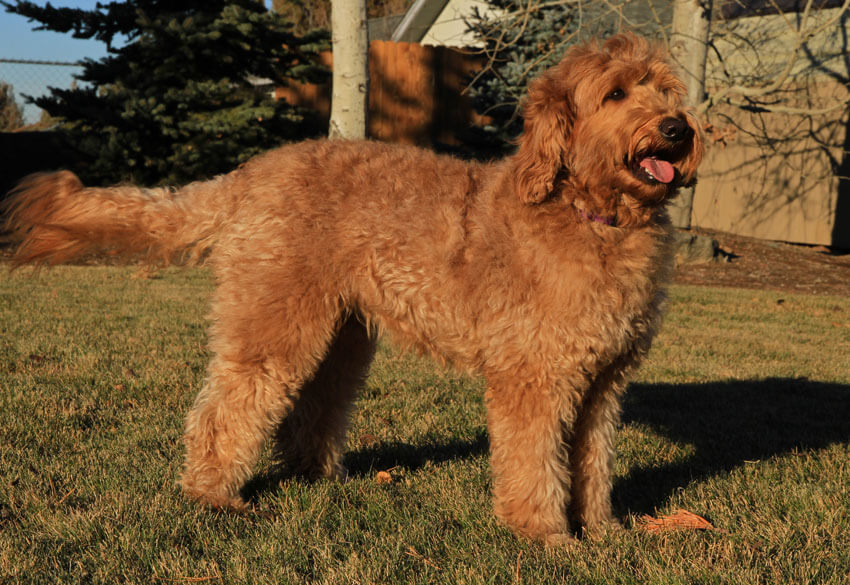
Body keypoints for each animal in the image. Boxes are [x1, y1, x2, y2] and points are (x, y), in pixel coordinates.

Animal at [3, 34, 700, 540]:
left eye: (665, 89)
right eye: (615, 93)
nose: (677, 128)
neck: (589, 214)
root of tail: (247, 174)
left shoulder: (602, 380)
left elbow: (593, 462)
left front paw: (603, 532)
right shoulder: (533, 376)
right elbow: (536, 461)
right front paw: (547, 536)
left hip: (339, 334)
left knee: (309, 409)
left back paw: (317, 478)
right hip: (274, 319)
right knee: (228, 406)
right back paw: (212, 495)